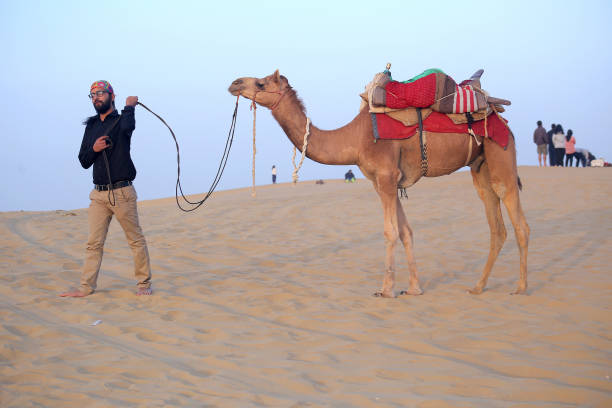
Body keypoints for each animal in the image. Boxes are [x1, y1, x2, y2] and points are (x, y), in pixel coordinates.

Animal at [227, 71, 528, 296]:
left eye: (261, 83)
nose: (234, 83)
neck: (355, 138)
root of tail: (501, 116)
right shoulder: (386, 180)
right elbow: (406, 231)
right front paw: (414, 289)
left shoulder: (385, 176)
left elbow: (389, 232)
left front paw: (386, 290)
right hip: (480, 167)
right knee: (496, 225)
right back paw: (477, 287)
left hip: (501, 153)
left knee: (518, 222)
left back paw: (521, 287)